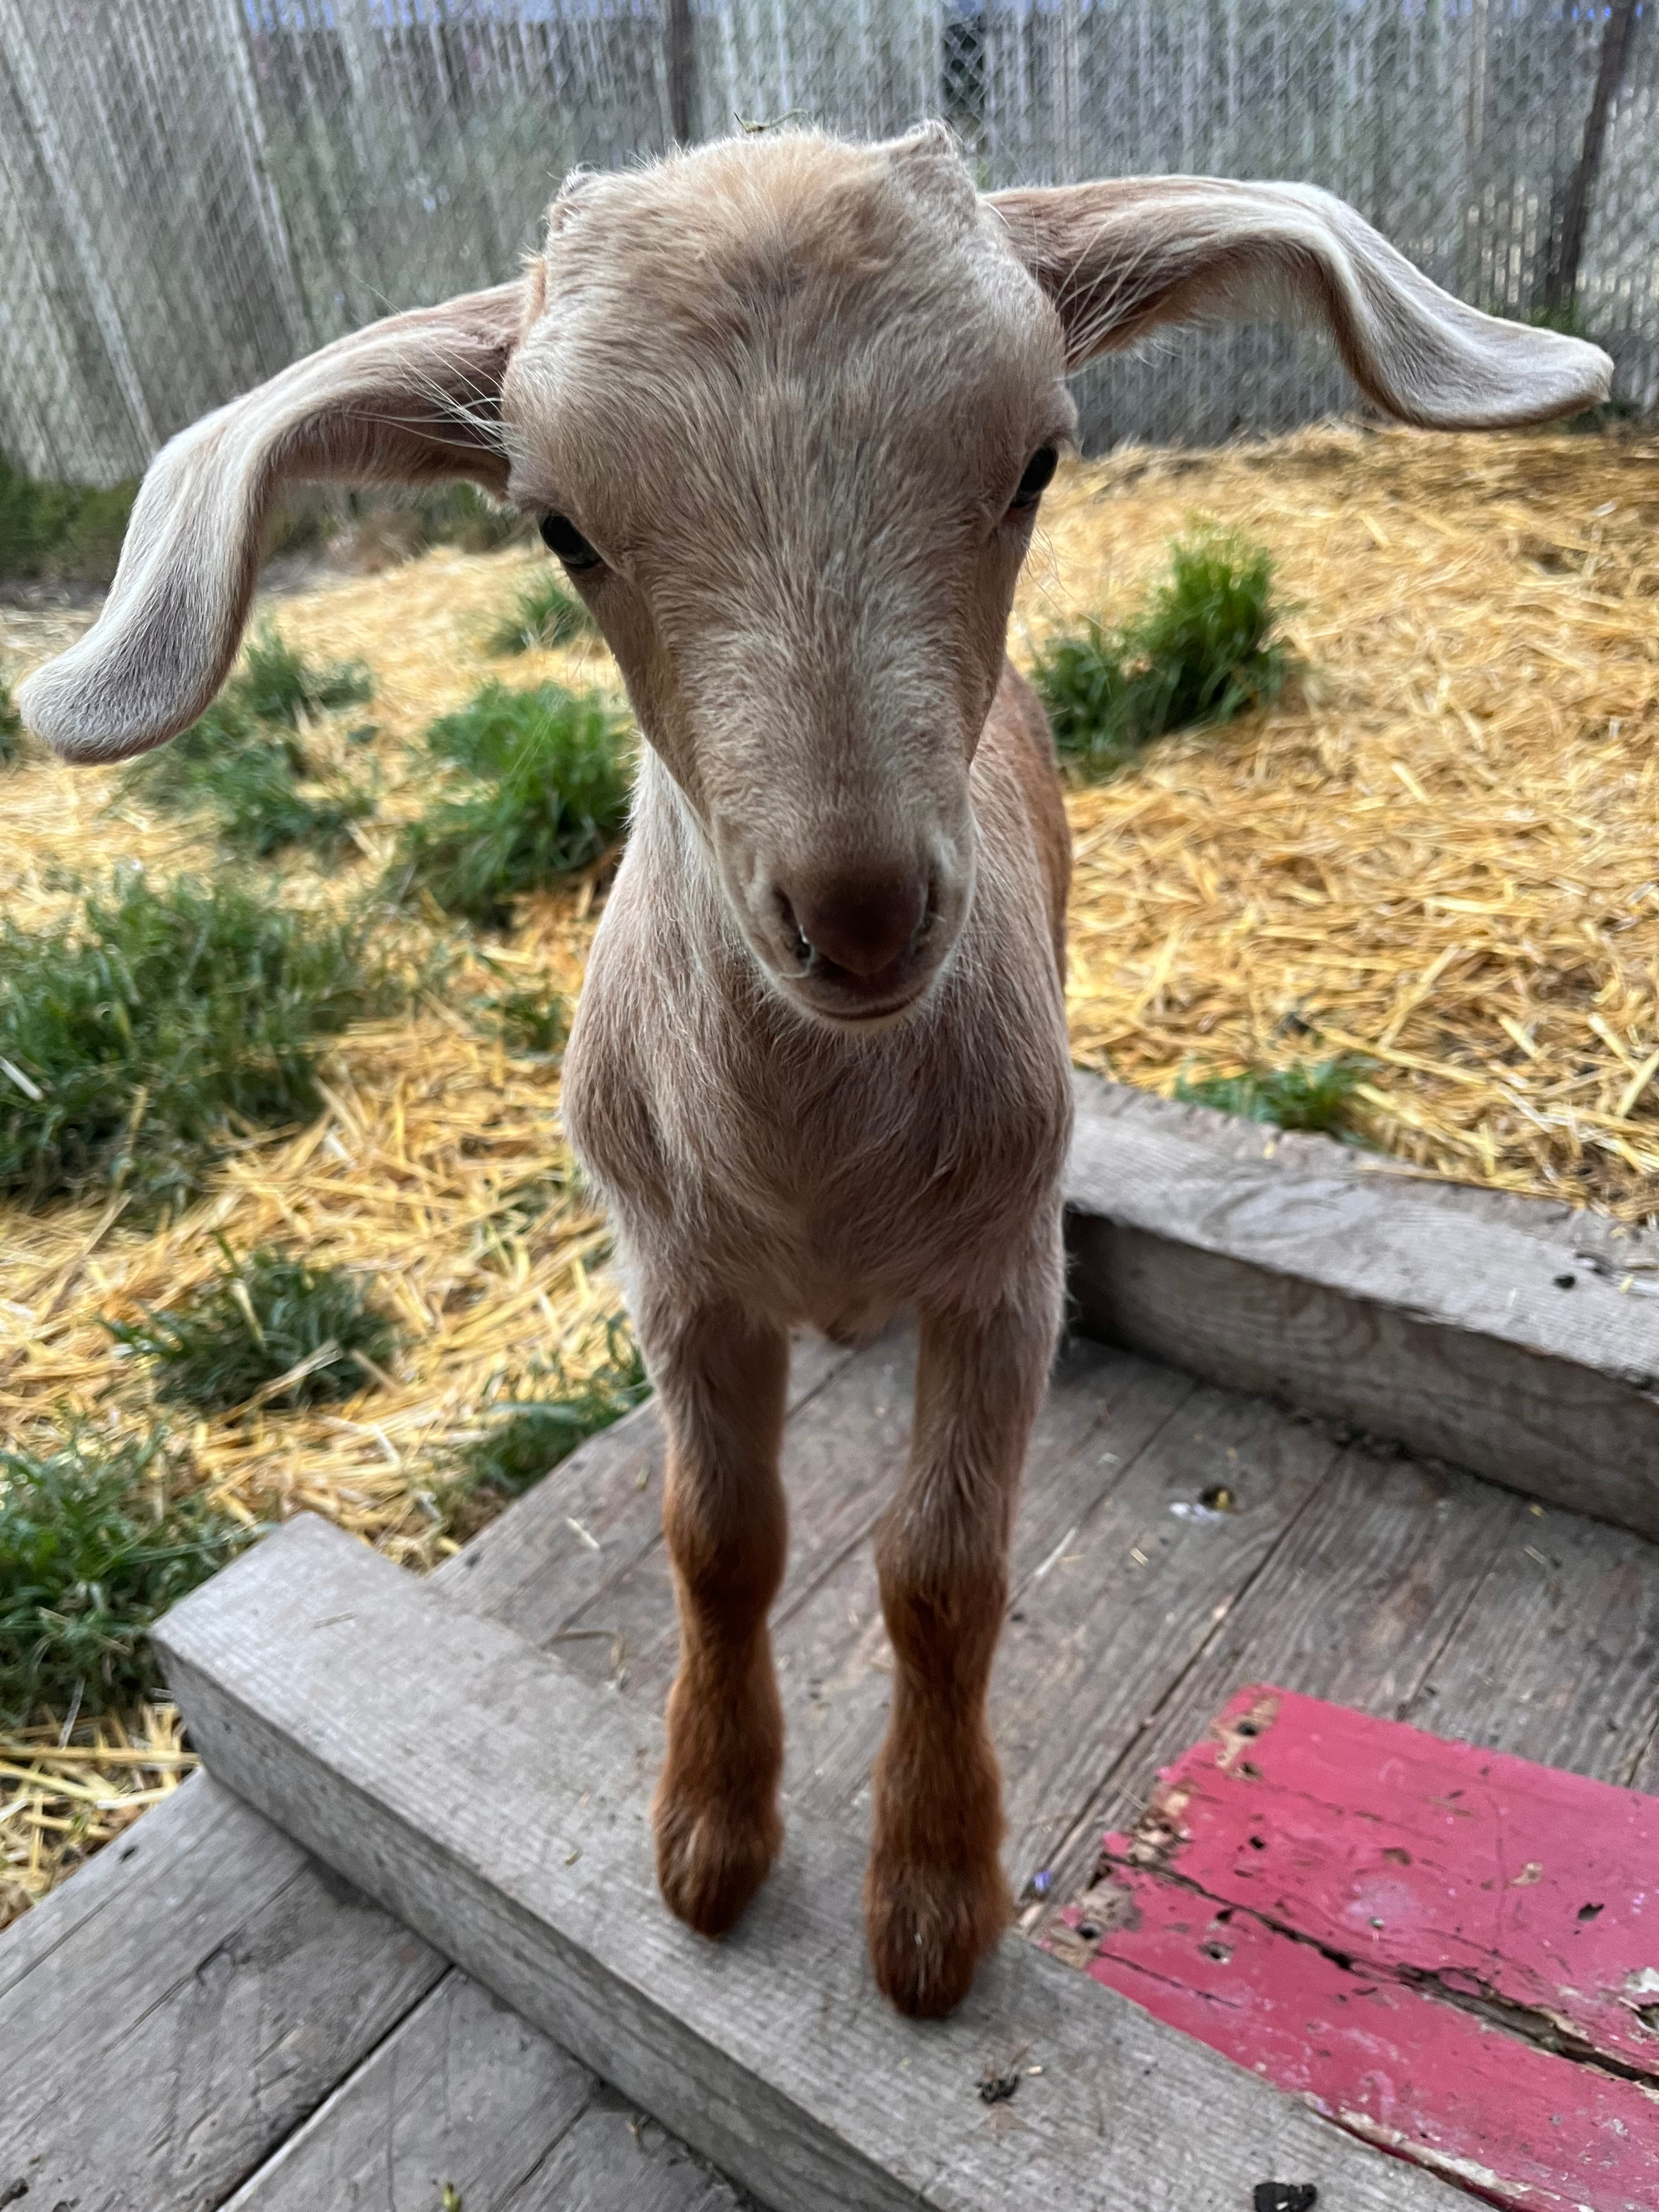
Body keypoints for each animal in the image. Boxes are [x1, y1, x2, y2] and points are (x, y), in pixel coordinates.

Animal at [22, 125, 1609, 2017]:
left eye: (1037, 459)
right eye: (560, 527)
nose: (858, 915)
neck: (818, 1164)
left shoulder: (1000, 1273)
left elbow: (942, 1571)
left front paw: (930, 1908)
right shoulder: (675, 1273)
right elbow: (719, 1544)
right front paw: (708, 1845)